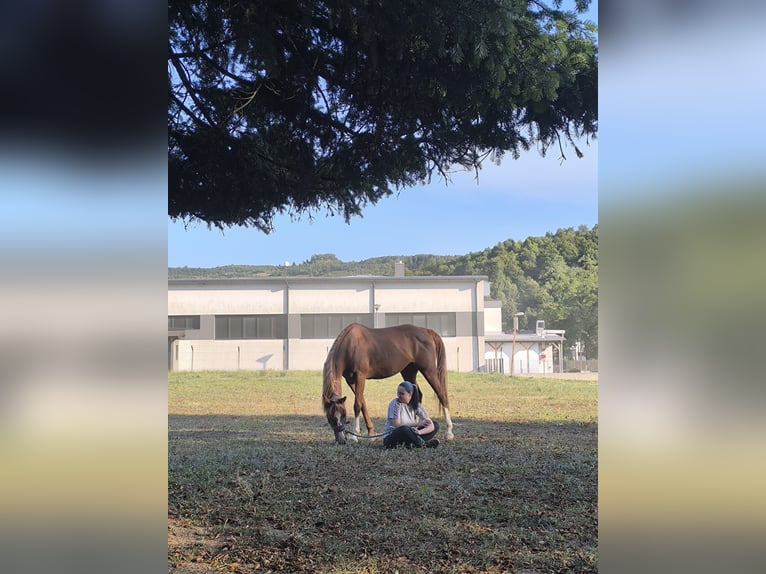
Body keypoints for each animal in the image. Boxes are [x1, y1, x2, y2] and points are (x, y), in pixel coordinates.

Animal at [322, 323, 454, 445]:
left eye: (344, 415)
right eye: (330, 417)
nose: (341, 440)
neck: (351, 345)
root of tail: (426, 331)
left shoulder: (360, 376)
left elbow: (357, 405)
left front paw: (354, 437)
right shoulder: (351, 380)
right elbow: (363, 403)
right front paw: (371, 433)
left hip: (428, 370)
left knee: (442, 394)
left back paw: (449, 433)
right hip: (409, 371)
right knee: (418, 395)